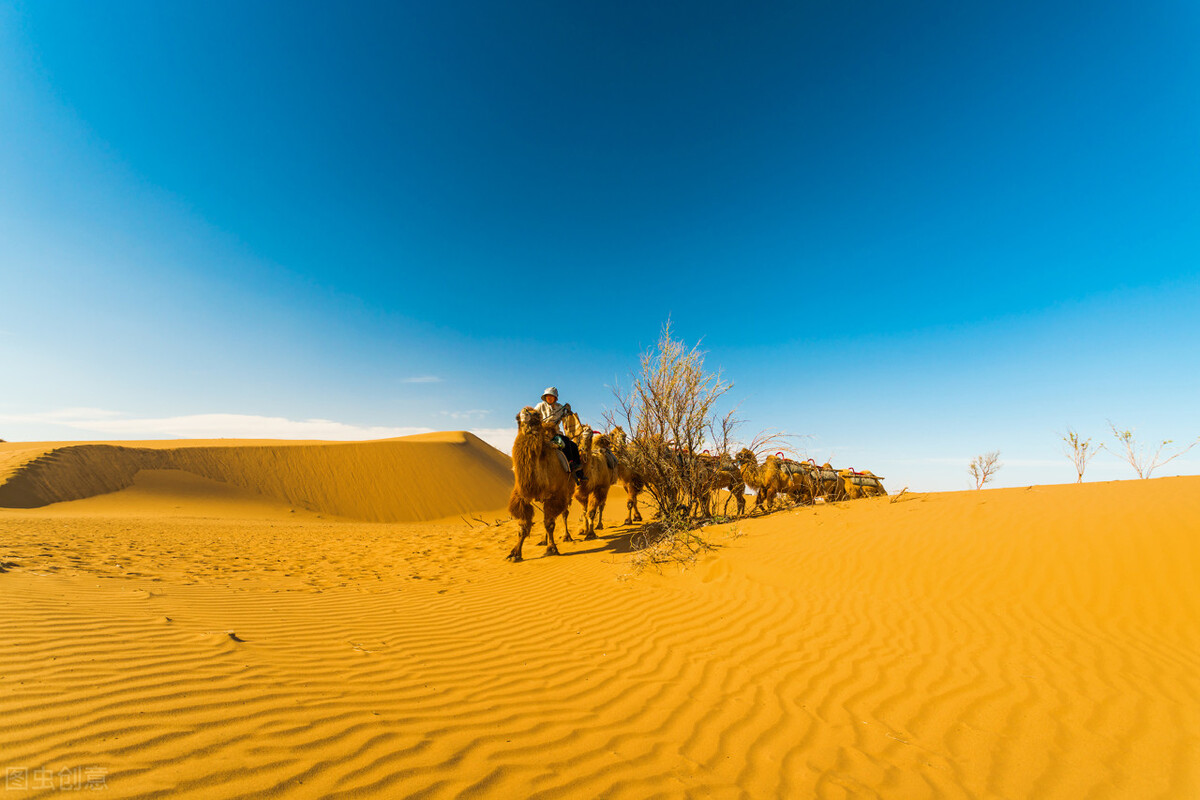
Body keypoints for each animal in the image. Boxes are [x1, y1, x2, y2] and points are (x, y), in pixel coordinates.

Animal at [508, 410, 573, 561]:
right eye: (517, 417)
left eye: (536, 415)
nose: (525, 413)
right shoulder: (522, 497)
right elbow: (523, 526)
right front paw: (515, 553)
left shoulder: (556, 495)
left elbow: (550, 523)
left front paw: (552, 548)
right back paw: (544, 540)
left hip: (568, 490)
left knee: (564, 513)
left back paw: (567, 536)